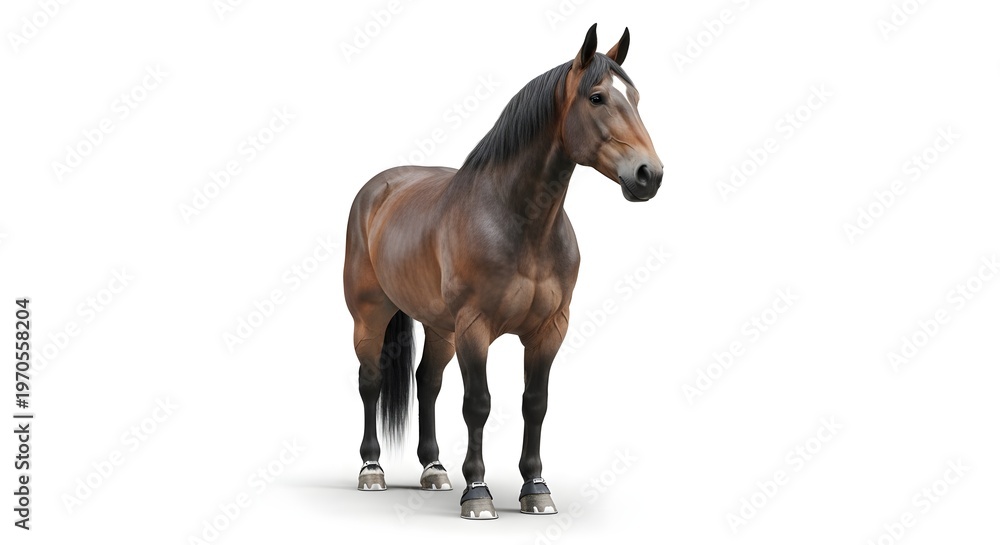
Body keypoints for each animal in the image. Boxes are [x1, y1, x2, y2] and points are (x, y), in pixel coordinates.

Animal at [343, 23, 662, 519]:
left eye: (636, 97)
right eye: (596, 98)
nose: (649, 174)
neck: (519, 221)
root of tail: (378, 189)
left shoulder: (549, 330)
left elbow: (536, 404)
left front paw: (536, 489)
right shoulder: (475, 327)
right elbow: (478, 404)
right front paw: (478, 493)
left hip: (441, 328)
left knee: (427, 383)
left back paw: (434, 469)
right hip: (371, 315)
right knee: (371, 381)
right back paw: (372, 470)